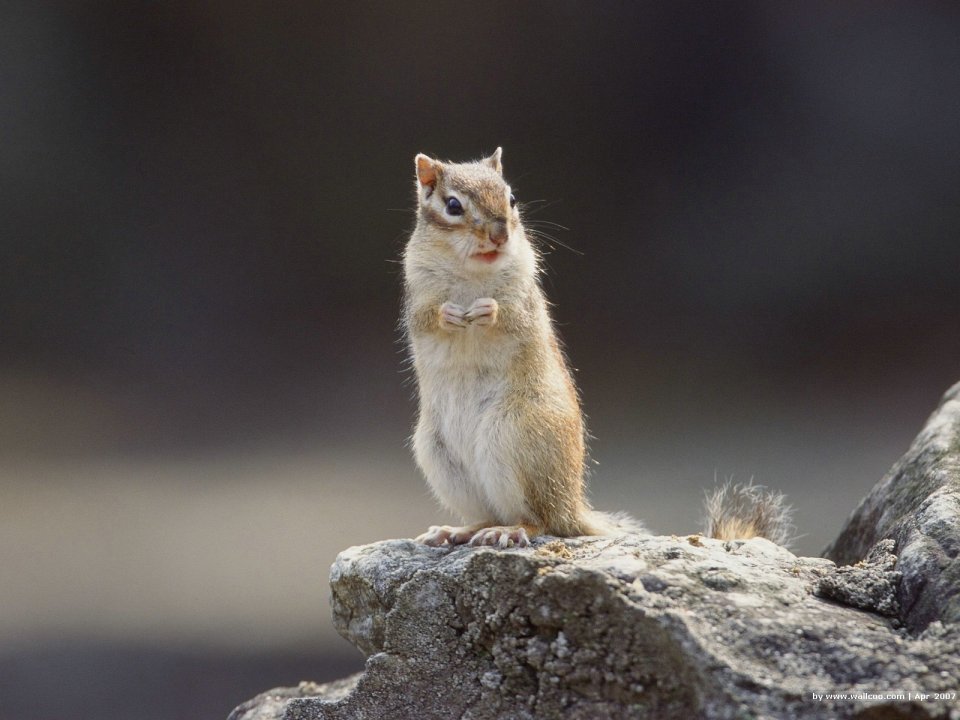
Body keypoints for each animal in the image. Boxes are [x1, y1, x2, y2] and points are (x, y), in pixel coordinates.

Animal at [402, 148, 794, 549]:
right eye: (453, 206)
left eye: (511, 198)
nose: (500, 235)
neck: (472, 273)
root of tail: (572, 505)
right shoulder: (416, 289)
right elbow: (425, 318)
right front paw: (449, 314)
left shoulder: (525, 295)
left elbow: (514, 316)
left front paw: (488, 311)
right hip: (438, 455)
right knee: (493, 514)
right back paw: (457, 530)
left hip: (513, 436)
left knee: (540, 520)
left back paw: (509, 529)